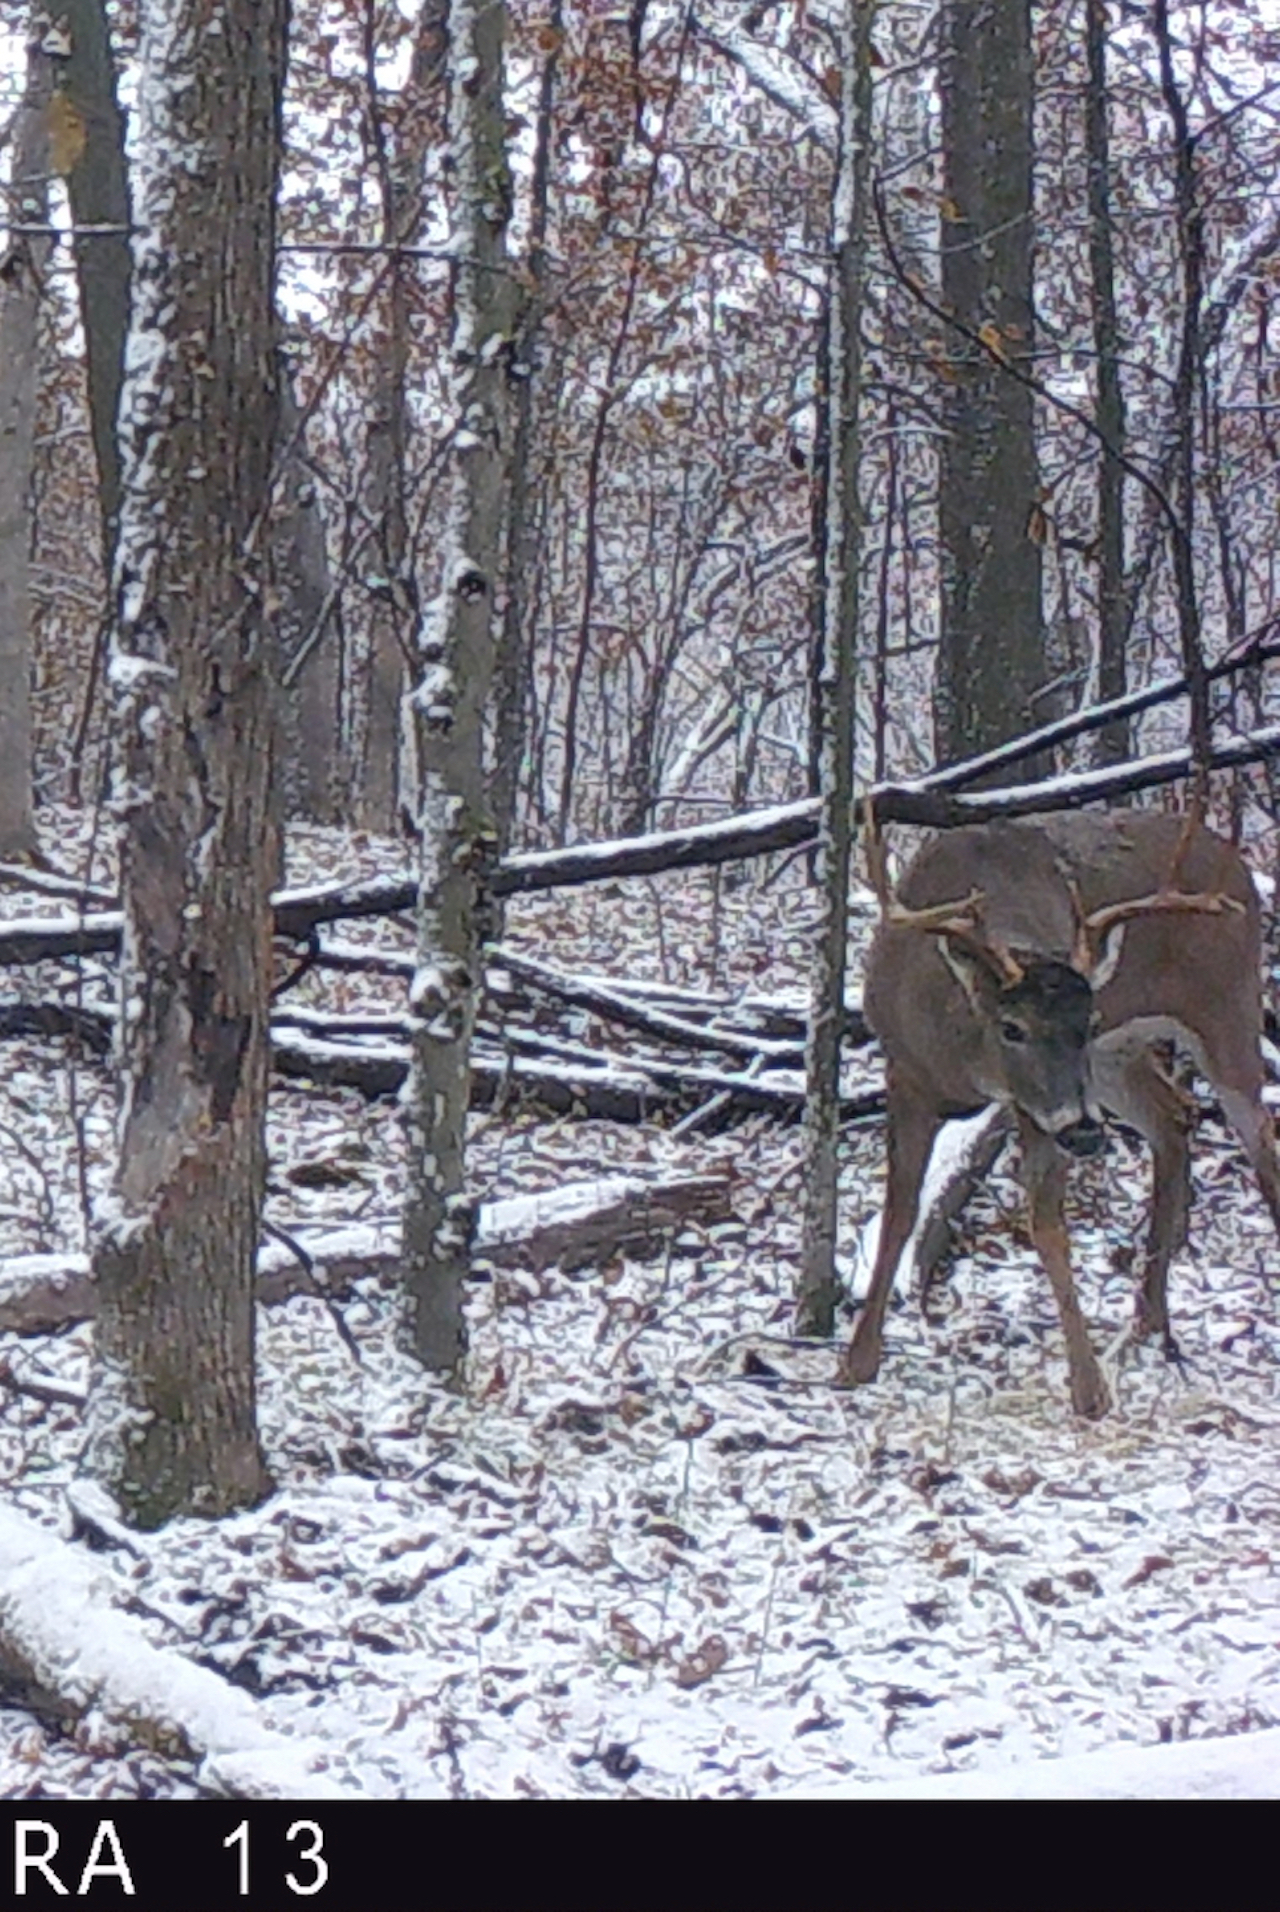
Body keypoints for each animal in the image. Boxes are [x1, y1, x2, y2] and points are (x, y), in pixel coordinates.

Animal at [841, 809, 1280, 1419]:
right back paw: (1146, 1322)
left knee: (1262, 1140)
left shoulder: (1039, 1106)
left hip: (1226, 1006)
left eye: (1086, 1021)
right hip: (1116, 1062)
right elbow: (900, 1211)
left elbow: (1047, 1225)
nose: (1087, 1135)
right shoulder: (906, 1074)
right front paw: (857, 1361)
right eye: (1012, 1027)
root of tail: (1237, 866)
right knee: (1173, 1118)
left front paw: (1088, 1388)